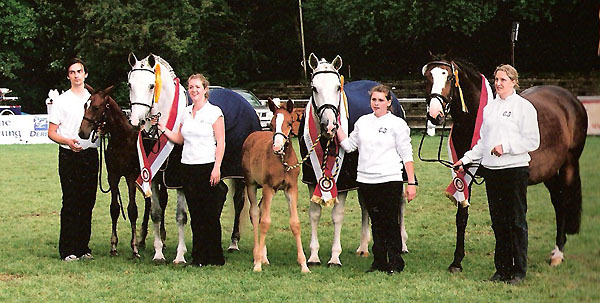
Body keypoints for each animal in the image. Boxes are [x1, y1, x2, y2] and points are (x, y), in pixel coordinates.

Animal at [78, 86, 189, 264]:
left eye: (95, 107)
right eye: (84, 105)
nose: (82, 132)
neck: (122, 140)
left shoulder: (131, 177)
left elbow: (132, 210)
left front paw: (134, 249)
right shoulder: (113, 177)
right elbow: (115, 208)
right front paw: (114, 246)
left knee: (159, 202)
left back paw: (158, 239)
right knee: (152, 204)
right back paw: (145, 239)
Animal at [243, 98, 312, 274]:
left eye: (290, 122)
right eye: (272, 124)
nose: (277, 147)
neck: (283, 161)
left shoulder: (291, 189)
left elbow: (295, 223)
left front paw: (304, 265)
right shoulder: (268, 188)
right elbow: (265, 222)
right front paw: (257, 265)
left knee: (260, 211)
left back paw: (264, 256)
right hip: (251, 184)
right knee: (255, 214)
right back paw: (257, 254)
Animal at [298, 53, 410, 268]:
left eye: (337, 87)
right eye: (314, 88)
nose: (330, 125)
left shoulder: (341, 182)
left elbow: (337, 216)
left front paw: (334, 257)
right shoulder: (312, 180)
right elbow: (314, 213)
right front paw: (314, 256)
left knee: (399, 202)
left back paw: (402, 244)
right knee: (366, 206)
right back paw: (364, 247)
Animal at [424, 57, 588, 274]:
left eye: (449, 77)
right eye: (427, 78)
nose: (435, 115)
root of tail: (571, 99)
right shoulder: (464, 175)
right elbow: (463, 217)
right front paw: (456, 262)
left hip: (569, 164)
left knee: (565, 200)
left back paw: (558, 253)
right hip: (549, 171)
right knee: (558, 201)